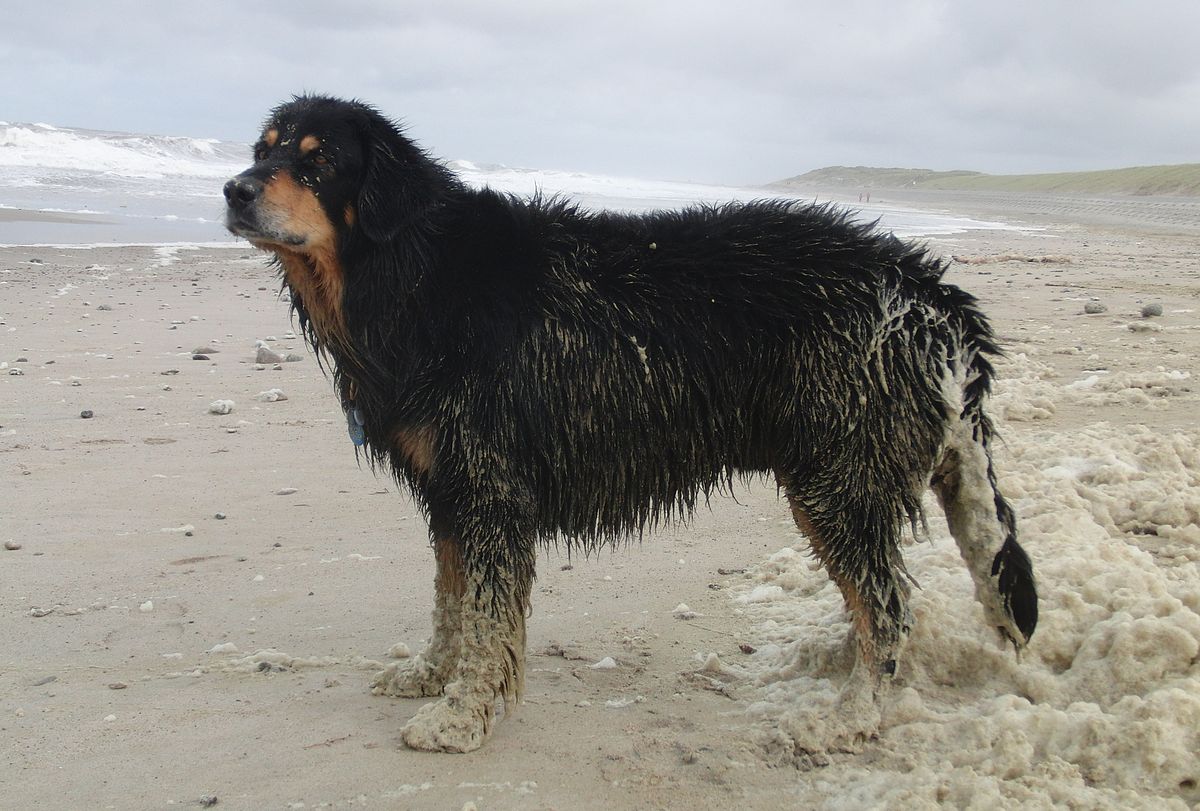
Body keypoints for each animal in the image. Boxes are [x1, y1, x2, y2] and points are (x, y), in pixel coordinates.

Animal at [224, 95, 1037, 753]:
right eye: (262, 148)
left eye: (320, 158)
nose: (234, 188)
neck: (410, 272)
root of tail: (934, 293)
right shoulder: (451, 493)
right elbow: (451, 604)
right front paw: (431, 674)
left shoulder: (489, 487)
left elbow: (484, 619)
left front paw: (462, 716)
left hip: (837, 479)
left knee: (889, 606)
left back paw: (853, 713)